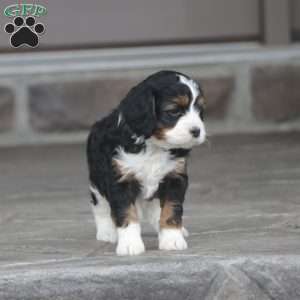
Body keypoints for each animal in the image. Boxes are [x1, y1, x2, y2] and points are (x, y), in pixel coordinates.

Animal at [86, 69, 206, 255]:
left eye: (200, 110)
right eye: (173, 111)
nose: (197, 131)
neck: (154, 145)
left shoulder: (174, 177)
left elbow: (171, 209)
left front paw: (172, 238)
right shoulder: (120, 179)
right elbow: (126, 212)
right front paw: (129, 244)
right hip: (96, 180)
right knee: (100, 206)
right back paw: (107, 232)